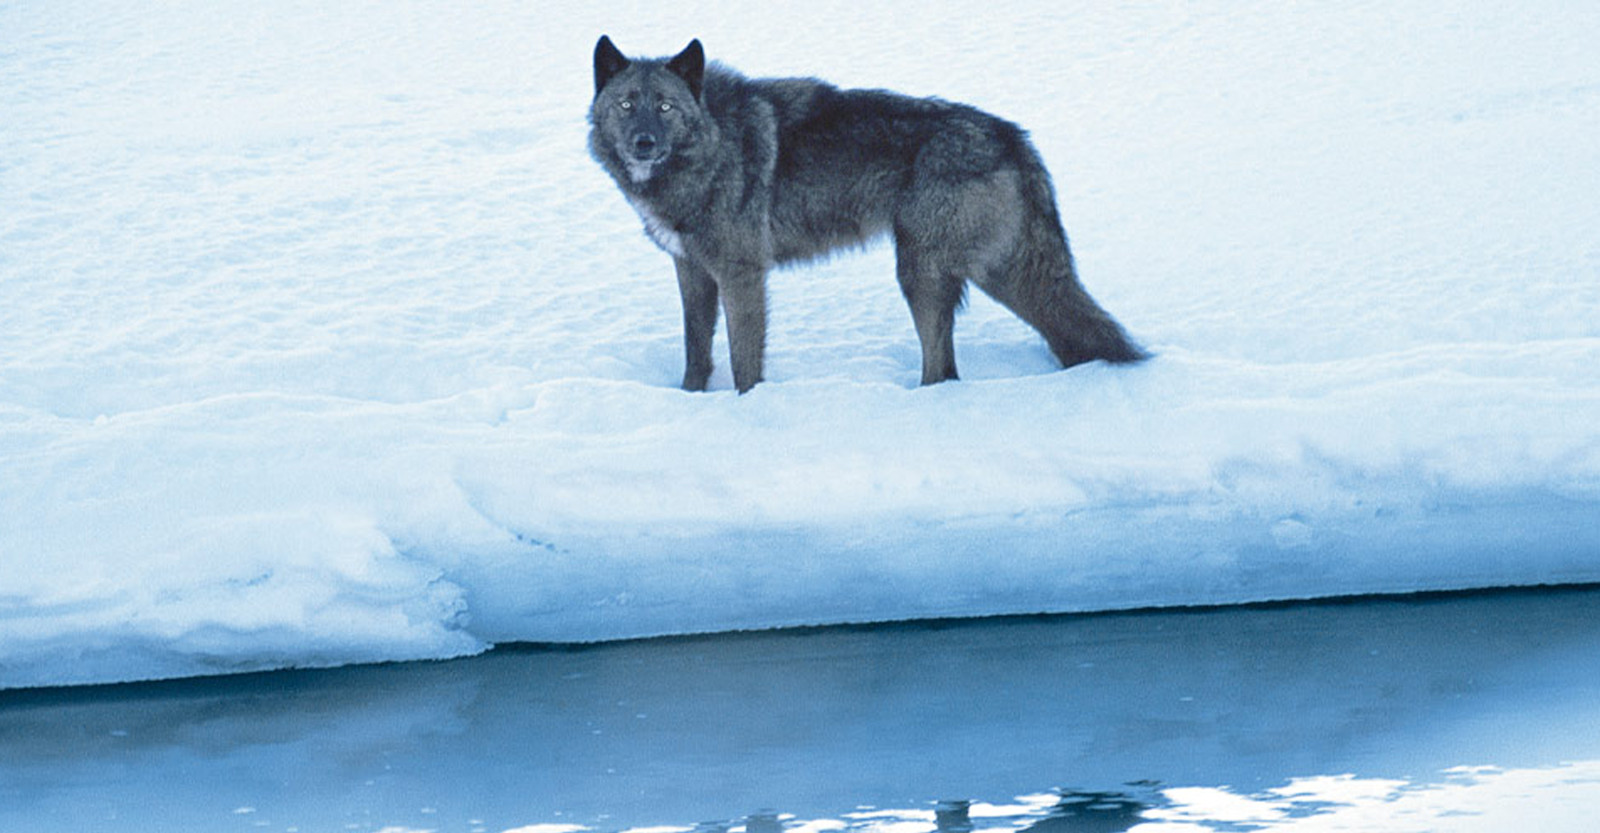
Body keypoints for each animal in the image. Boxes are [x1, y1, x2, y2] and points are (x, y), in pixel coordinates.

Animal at [588, 36, 1147, 393]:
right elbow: (696, 352)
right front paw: (689, 401)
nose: (643, 143)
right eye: (626, 105)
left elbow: (744, 361)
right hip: (997, 275)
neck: (710, 146)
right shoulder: (691, 271)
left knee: (942, 369)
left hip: (921, 274)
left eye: (665, 107)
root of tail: (1012, 135)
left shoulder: (741, 275)